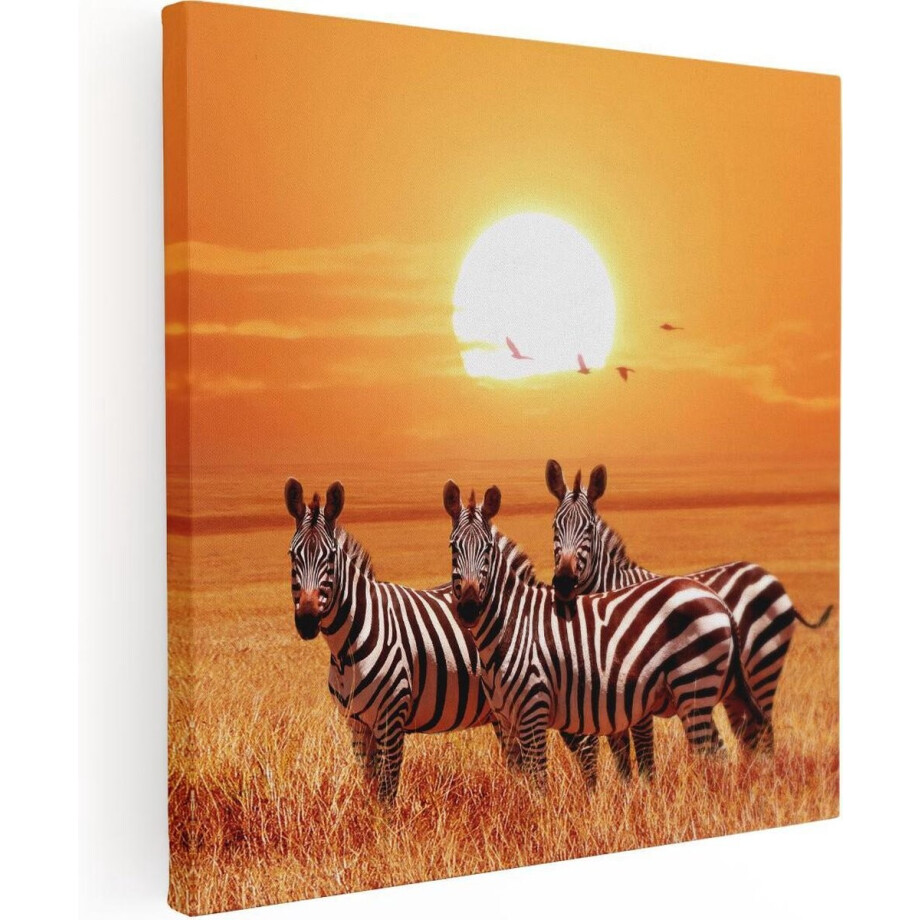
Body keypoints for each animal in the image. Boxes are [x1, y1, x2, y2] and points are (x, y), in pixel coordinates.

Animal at [284, 477, 602, 800]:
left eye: (329, 557)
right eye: (292, 555)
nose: (307, 621)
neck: (348, 642)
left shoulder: (391, 718)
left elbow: (387, 790)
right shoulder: (357, 724)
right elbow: (372, 787)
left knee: (586, 748)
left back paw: (590, 801)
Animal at [443, 480, 765, 789]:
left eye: (487, 548)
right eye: (453, 548)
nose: (469, 609)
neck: (511, 622)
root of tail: (717, 600)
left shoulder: (534, 709)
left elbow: (539, 780)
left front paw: (541, 807)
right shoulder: (506, 718)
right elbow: (520, 779)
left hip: (693, 683)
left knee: (709, 751)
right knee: (718, 749)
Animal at [546, 459, 833, 770]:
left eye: (588, 529)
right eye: (554, 526)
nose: (563, 582)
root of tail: (767, 575)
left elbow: (641, 753)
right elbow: (619, 751)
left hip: (763, 668)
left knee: (764, 734)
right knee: (748, 735)